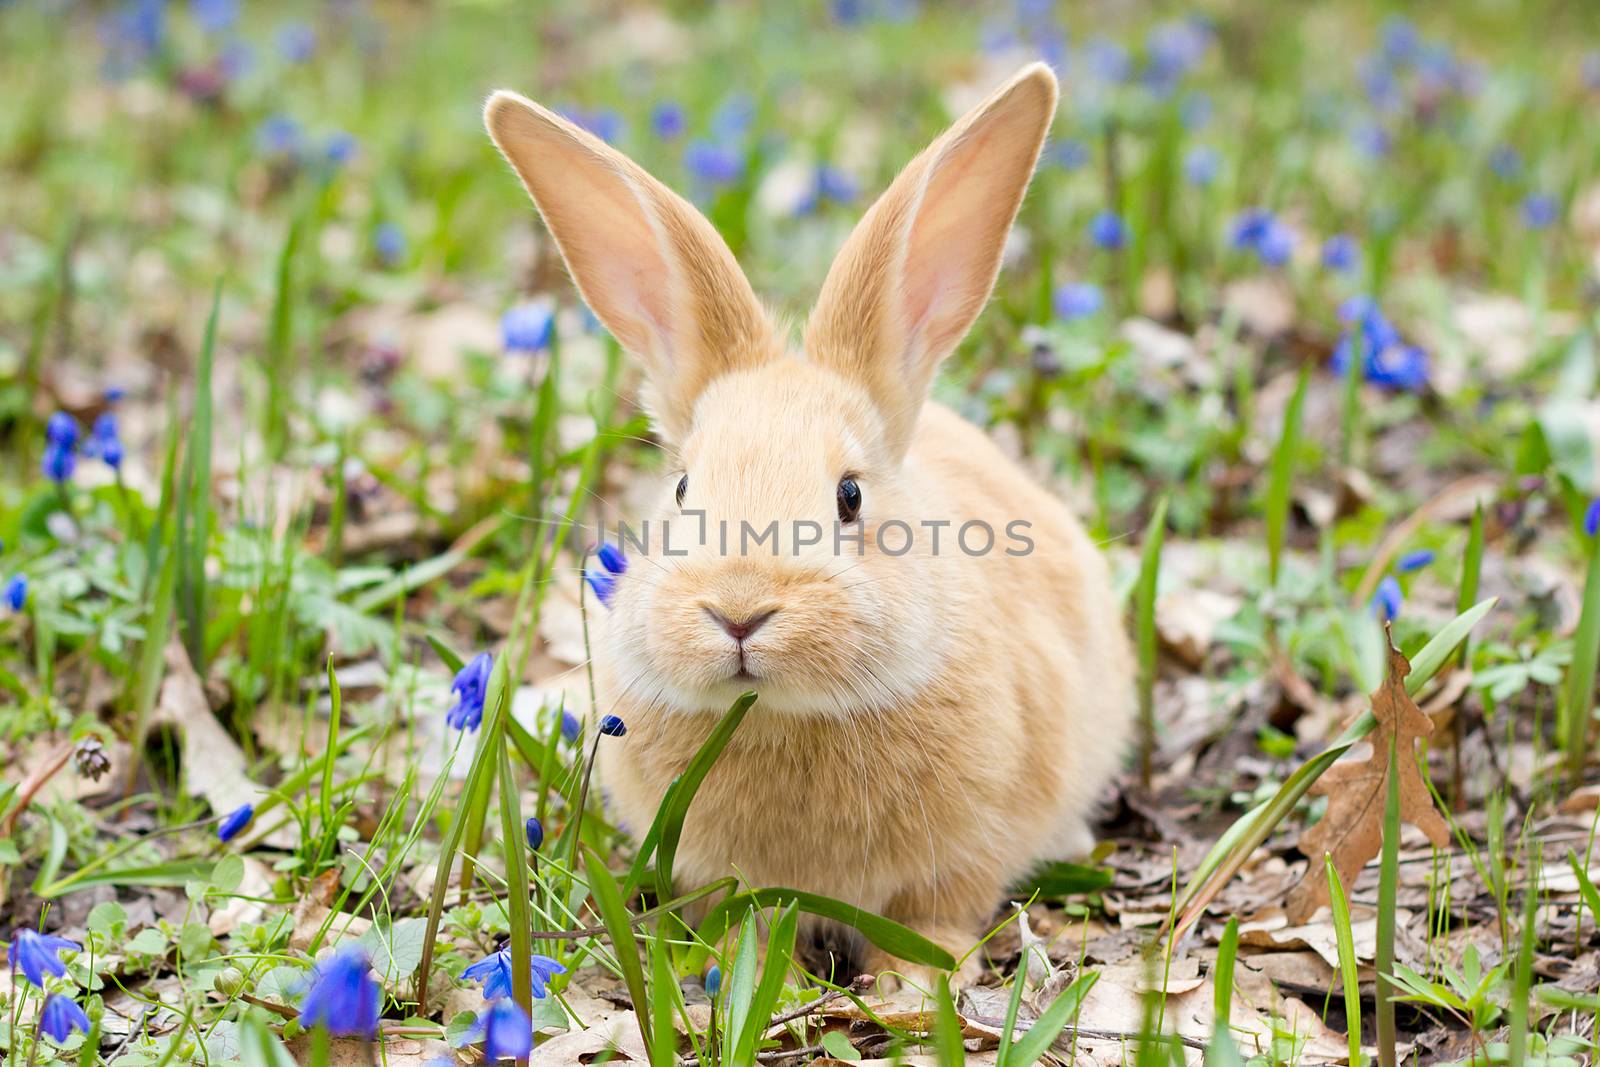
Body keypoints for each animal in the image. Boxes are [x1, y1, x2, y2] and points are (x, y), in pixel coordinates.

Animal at [486, 62, 1139, 991]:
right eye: (681, 487)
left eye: (850, 496)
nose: (740, 611)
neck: (784, 713)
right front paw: (755, 976)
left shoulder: (963, 858)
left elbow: (936, 914)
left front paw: (915, 983)